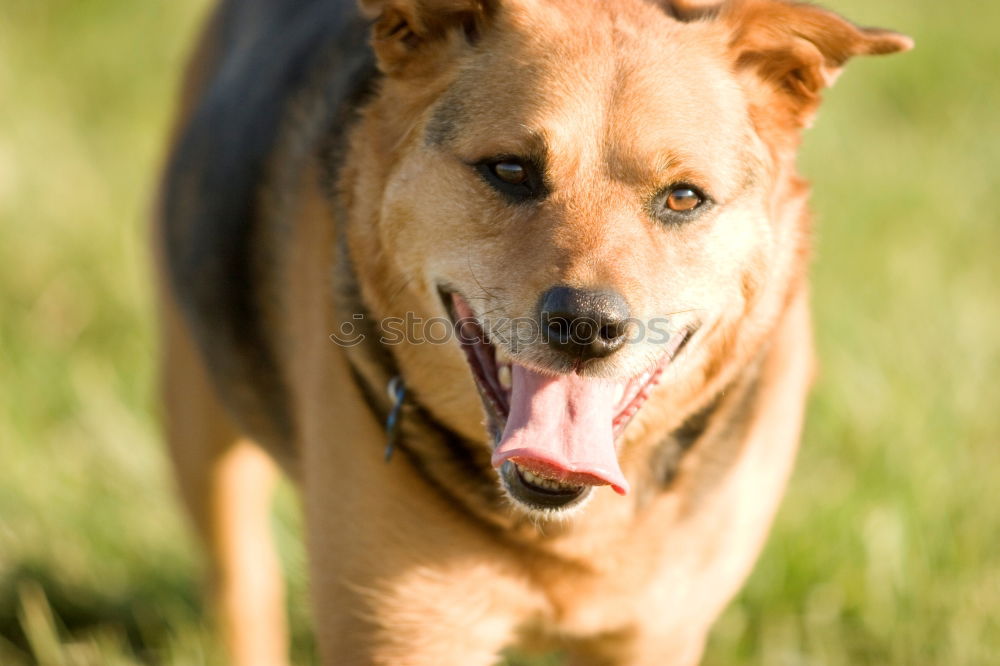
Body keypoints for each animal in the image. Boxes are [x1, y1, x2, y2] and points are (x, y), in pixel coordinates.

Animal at [152, 2, 912, 660]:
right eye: (510, 170)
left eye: (683, 197)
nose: (588, 326)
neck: (564, 532)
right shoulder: (403, 631)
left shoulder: (656, 632)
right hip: (197, 420)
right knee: (242, 586)